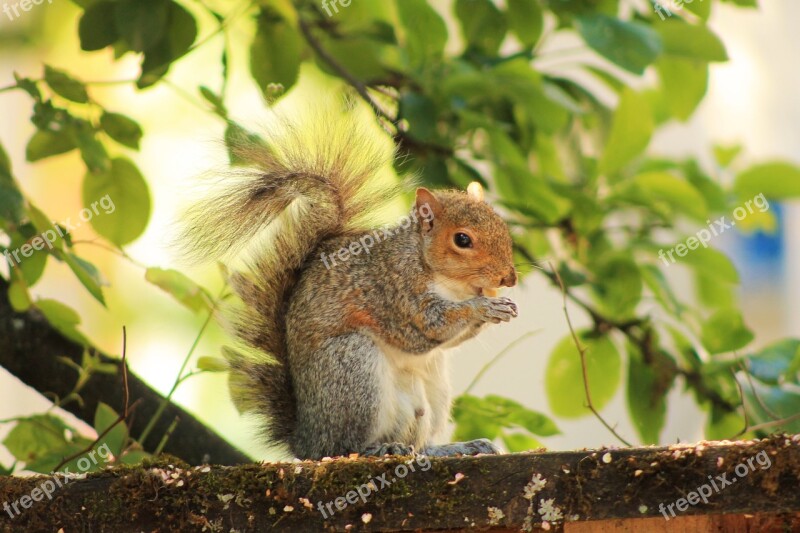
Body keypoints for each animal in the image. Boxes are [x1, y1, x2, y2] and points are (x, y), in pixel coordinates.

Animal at [177, 102, 520, 460]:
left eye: (502, 226)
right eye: (462, 240)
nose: (508, 277)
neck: (445, 279)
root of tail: (307, 439)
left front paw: (501, 306)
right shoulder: (392, 292)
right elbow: (427, 328)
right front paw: (483, 307)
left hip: (433, 392)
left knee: (419, 446)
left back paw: (452, 448)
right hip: (353, 371)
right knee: (344, 445)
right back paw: (377, 449)